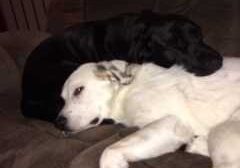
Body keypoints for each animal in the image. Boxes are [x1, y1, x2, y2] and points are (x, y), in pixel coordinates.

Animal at [57, 57, 240, 167]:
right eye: (63, 99)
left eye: (78, 90)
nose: (58, 122)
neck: (126, 91)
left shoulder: (171, 122)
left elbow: (109, 150)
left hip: (222, 131)